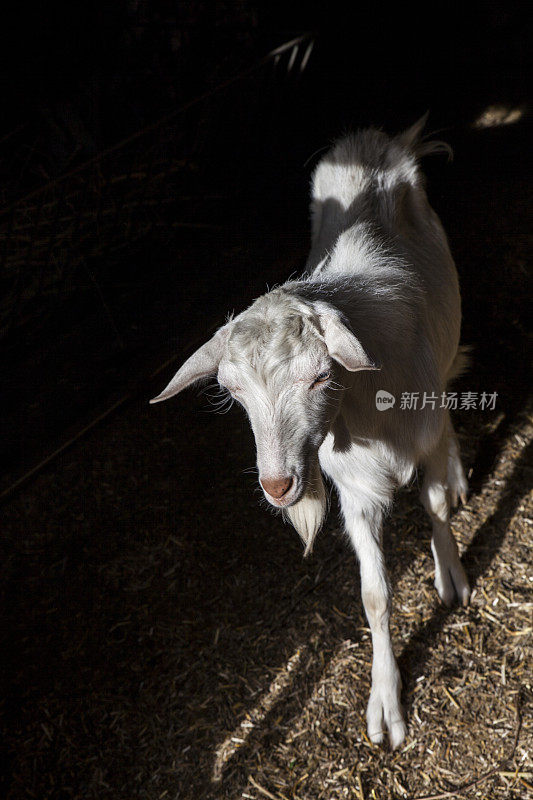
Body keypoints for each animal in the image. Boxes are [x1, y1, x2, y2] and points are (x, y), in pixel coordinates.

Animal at [151, 117, 470, 752]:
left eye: (322, 374)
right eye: (233, 390)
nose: (278, 486)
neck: (366, 410)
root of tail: (374, 139)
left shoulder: (425, 436)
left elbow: (437, 506)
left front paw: (452, 575)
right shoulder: (353, 488)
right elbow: (374, 596)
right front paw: (386, 705)